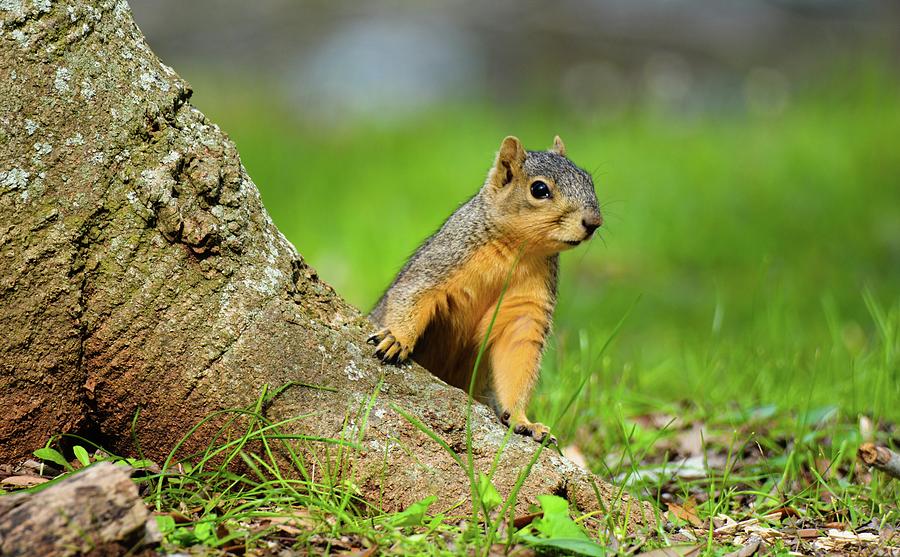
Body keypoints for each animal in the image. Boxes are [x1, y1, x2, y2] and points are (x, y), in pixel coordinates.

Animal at [370, 137, 600, 446]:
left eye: (588, 179)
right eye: (539, 189)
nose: (594, 222)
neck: (517, 250)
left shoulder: (527, 307)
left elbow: (518, 354)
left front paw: (524, 420)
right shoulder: (443, 261)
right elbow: (413, 294)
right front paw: (397, 338)